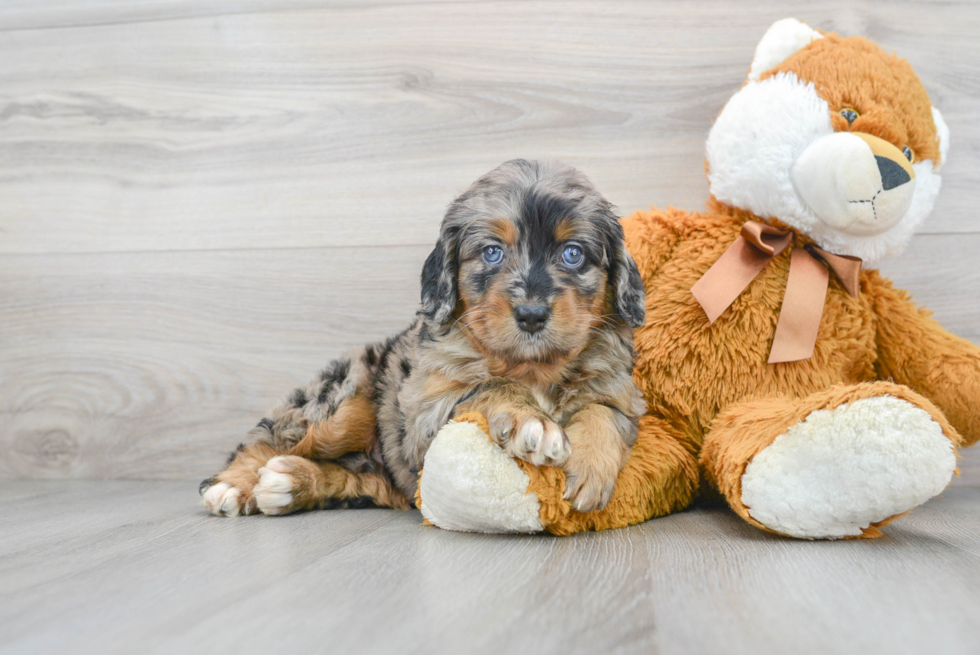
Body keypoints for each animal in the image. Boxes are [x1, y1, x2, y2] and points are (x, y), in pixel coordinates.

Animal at [199, 159, 648, 516]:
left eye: (573, 254)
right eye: (492, 252)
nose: (532, 314)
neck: (532, 367)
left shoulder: (620, 391)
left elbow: (602, 411)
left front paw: (590, 468)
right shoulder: (424, 416)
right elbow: (489, 385)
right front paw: (529, 421)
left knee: (354, 479)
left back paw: (291, 484)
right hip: (342, 400)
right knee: (268, 435)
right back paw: (234, 484)